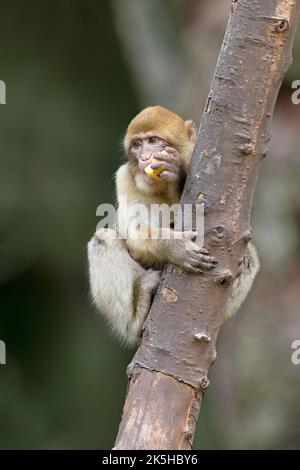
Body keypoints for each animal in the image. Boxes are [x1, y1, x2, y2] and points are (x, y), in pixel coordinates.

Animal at [87, 105, 260, 346]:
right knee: (104, 239)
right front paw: (177, 247)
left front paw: (177, 173)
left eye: (152, 140)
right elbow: (135, 234)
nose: (145, 157)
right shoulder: (124, 178)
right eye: (136, 145)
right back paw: (138, 315)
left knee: (248, 255)